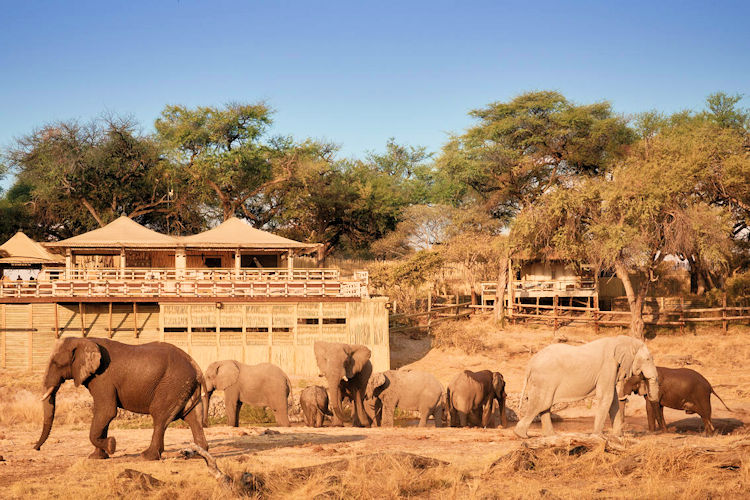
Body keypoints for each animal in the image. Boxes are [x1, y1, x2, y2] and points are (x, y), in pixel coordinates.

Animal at [34, 337, 208, 460]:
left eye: (56, 363)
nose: (36, 448)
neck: (83, 340)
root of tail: (197, 367)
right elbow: (103, 415)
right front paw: (97, 457)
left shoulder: (102, 378)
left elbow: (106, 411)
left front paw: (111, 445)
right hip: (184, 387)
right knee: (193, 418)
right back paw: (197, 454)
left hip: (172, 384)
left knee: (160, 416)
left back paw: (146, 457)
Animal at [514, 335, 659, 438]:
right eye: (647, 359)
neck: (621, 340)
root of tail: (530, 363)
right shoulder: (608, 366)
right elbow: (606, 397)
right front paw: (598, 436)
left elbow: (613, 400)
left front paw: (618, 436)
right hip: (544, 379)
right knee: (541, 403)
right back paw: (521, 435)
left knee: (545, 405)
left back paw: (550, 436)